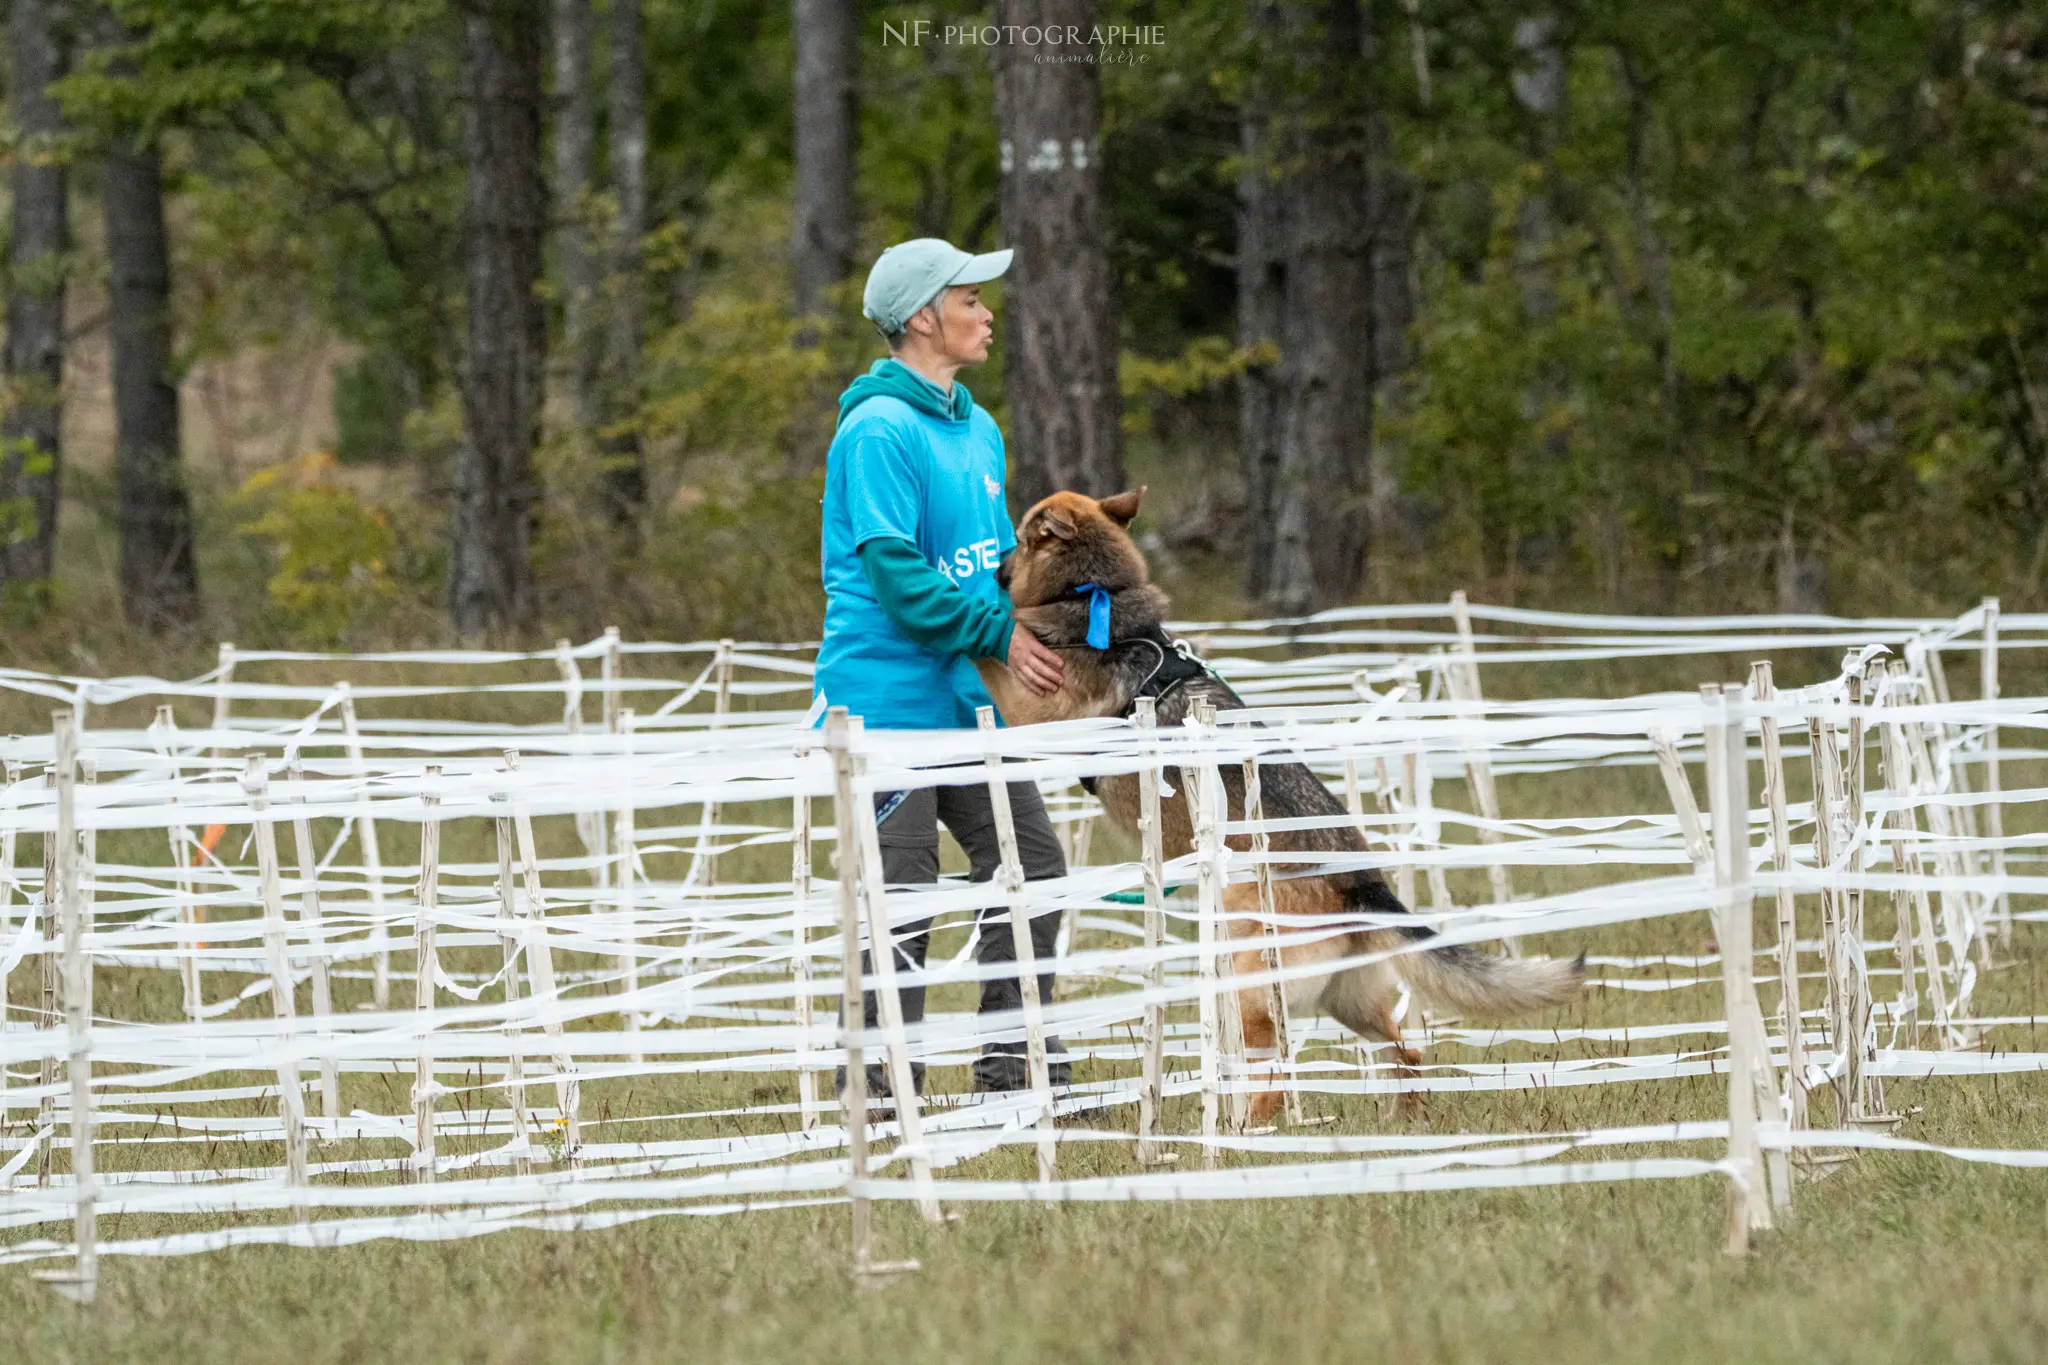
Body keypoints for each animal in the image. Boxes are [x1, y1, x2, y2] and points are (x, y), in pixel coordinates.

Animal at [974, 485, 1581, 1129]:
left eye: (1019, 537)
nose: (994, 565)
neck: (1096, 598)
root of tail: (1361, 882)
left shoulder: (1033, 708)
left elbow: (995, 656)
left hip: (1250, 987)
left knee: (1275, 1073)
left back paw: (1242, 1130)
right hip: (1345, 999)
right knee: (1406, 1051)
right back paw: (1400, 1121)